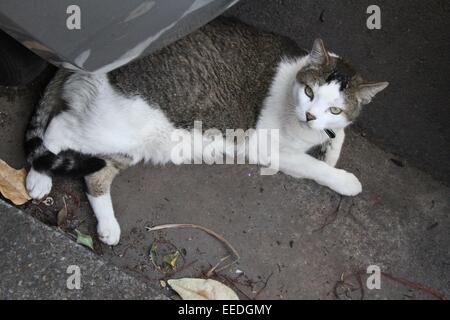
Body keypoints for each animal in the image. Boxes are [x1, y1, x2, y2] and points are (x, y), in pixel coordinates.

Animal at [23, 18, 386, 245]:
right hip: (113, 128)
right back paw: (38, 177)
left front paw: (332, 150)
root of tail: (88, 67)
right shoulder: (267, 147)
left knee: (95, 174)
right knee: (58, 127)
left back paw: (108, 226)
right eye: (309, 92)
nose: (310, 116)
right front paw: (344, 179)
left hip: (132, 143)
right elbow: (313, 167)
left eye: (334, 108)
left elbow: (339, 135)